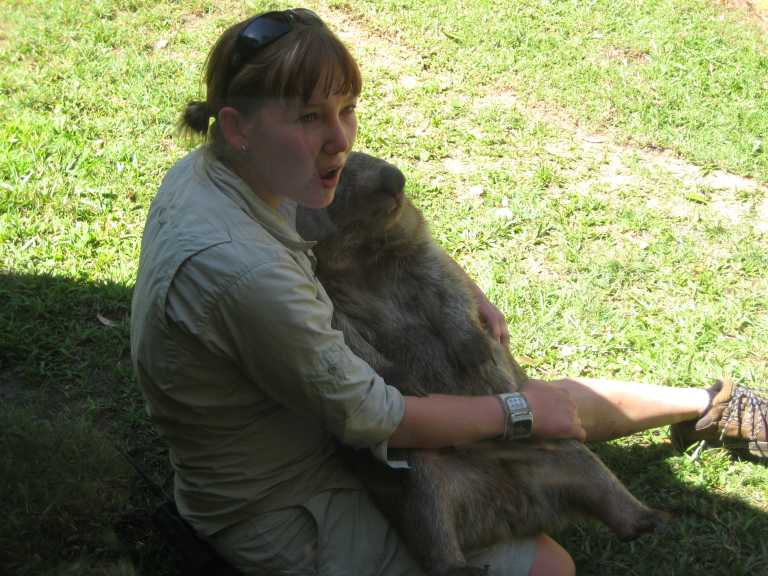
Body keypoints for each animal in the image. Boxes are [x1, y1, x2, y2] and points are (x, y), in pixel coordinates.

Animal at [296, 152, 669, 576]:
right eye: (337, 174)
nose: (396, 178)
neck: (363, 258)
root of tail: (510, 511)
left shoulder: (421, 251)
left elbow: (451, 291)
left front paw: (476, 350)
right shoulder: (327, 294)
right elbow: (348, 338)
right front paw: (404, 380)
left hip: (565, 454)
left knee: (600, 480)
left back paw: (650, 520)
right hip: (421, 471)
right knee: (429, 521)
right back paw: (461, 567)